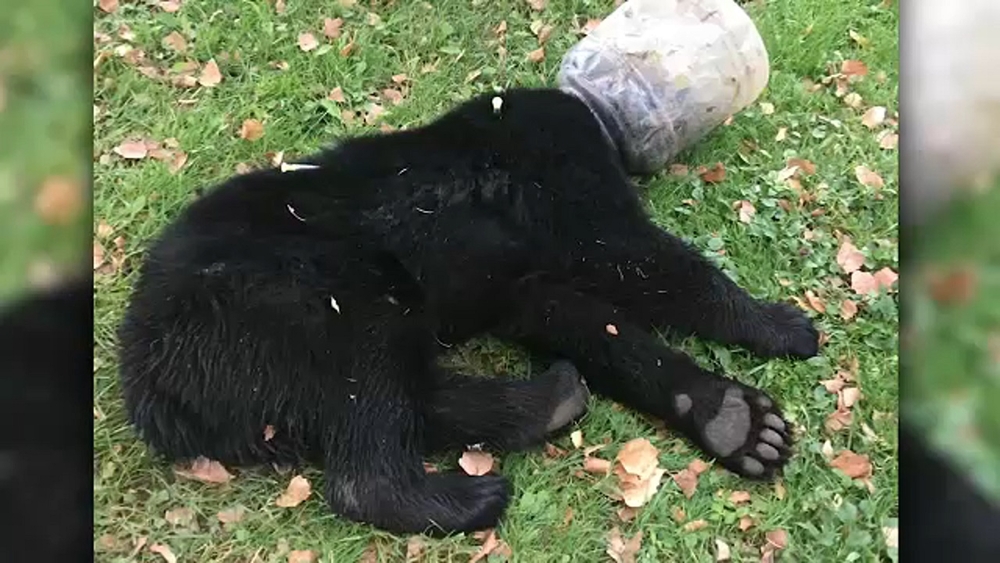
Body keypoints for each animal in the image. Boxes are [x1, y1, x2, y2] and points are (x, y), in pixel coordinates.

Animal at [117, 87, 818, 536]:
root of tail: (149, 379)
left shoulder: (522, 284)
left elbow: (590, 321)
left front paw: (729, 417)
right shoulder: (561, 170)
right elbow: (636, 256)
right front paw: (779, 326)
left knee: (405, 395)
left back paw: (550, 398)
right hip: (317, 289)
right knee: (368, 421)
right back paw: (464, 498)